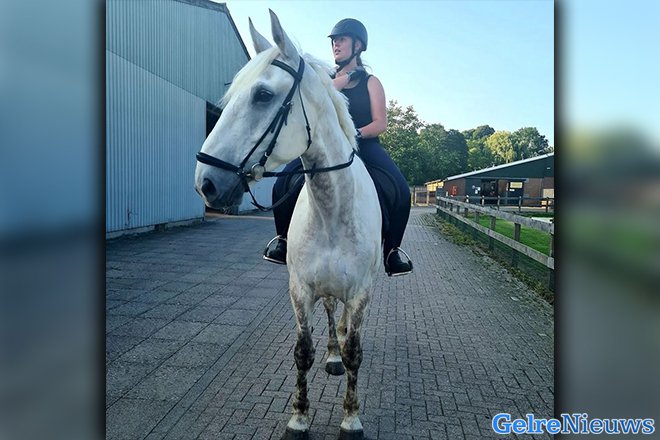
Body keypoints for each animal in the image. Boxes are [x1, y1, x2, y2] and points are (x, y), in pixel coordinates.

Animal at [194, 10, 381, 440]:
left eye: (262, 95)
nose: (205, 182)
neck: (331, 211)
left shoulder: (361, 292)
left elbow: (356, 352)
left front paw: (351, 419)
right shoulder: (300, 290)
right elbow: (303, 352)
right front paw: (299, 418)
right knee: (330, 313)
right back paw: (332, 355)